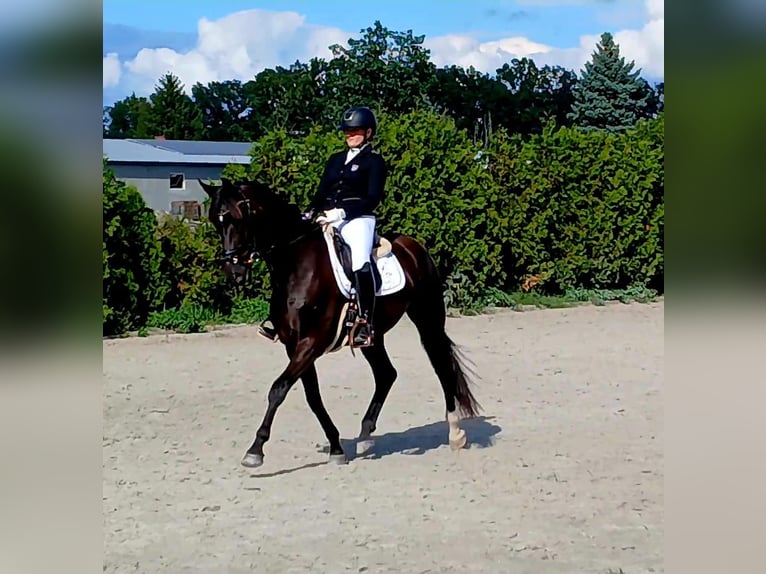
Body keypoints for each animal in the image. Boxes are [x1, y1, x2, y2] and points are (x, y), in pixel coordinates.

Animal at [199, 178, 481, 468]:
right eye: (215, 221)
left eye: (238, 217)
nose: (234, 272)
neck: (296, 264)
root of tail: (414, 247)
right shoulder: (294, 344)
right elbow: (312, 397)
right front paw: (336, 447)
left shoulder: (312, 341)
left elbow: (278, 389)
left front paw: (255, 450)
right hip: (372, 336)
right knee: (386, 374)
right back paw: (366, 434)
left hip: (428, 320)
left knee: (441, 366)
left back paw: (456, 433)